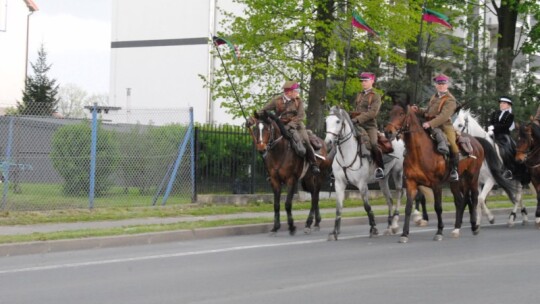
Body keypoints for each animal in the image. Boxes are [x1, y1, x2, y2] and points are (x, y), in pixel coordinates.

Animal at [322, 106, 402, 240]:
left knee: (399, 194)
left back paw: (395, 224)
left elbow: (367, 206)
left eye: (338, 121)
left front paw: (373, 228)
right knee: (389, 200)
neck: (347, 154)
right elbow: (338, 208)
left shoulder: (362, 184)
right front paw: (334, 232)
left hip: (397, 173)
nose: (328, 142)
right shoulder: (339, 184)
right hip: (383, 179)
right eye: (326, 121)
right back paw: (389, 226)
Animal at [384, 100, 486, 242]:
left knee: (474, 197)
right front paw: (404, 234)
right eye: (390, 113)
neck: (419, 151)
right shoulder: (411, 183)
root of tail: (476, 142)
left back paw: (474, 226)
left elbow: (438, 207)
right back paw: (456, 229)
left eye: (401, 114)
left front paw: (439, 231)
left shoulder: (436, 185)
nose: (388, 132)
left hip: (472, 177)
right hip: (456, 181)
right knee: (460, 201)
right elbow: (408, 208)